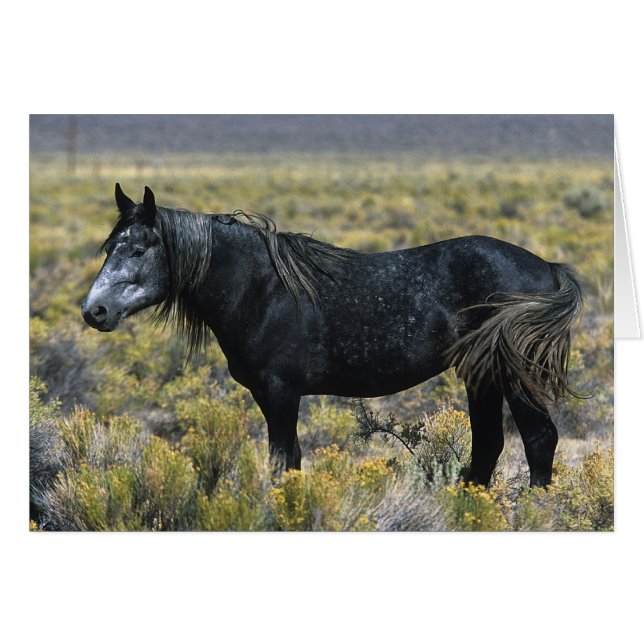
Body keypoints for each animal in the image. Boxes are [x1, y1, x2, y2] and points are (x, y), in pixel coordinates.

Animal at [82, 184, 582, 487]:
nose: (94, 311)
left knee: (538, 440)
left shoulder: (282, 393)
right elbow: (292, 460)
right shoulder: (268, 395)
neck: (260, 287)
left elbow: (282, 462)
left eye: (140, 248)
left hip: (513, 375)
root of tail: (546, 267)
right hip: (480, 374)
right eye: (109, 247)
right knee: (488, 446)